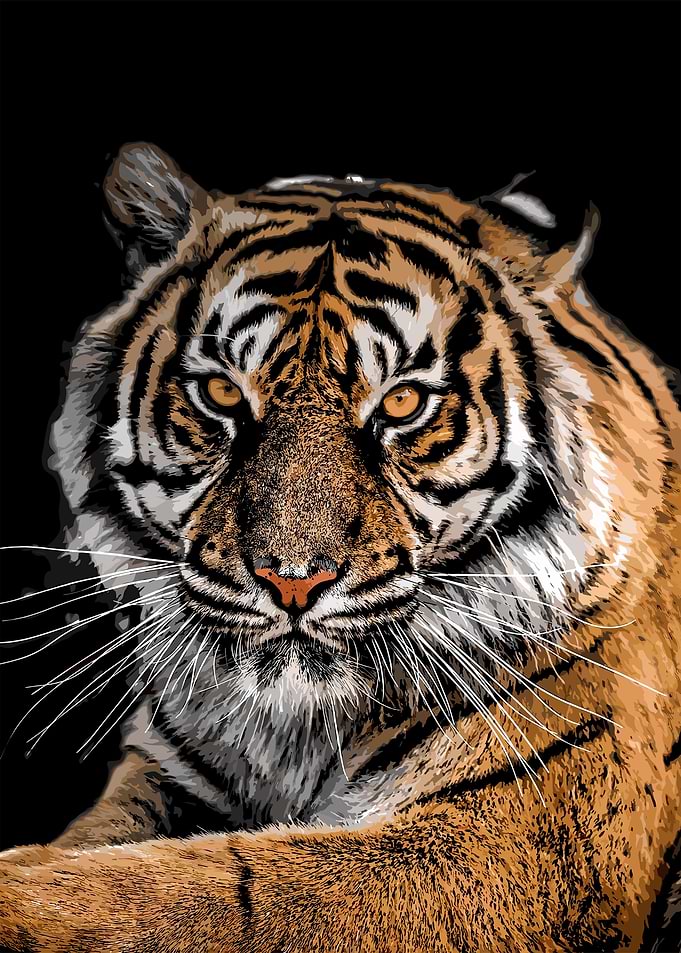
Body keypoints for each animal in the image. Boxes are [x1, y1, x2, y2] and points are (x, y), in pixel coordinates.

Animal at [0, 142, 679, 953]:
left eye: (402, 402)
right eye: (222, 395)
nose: (292, 581)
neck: (291, 731)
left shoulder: (515, 842)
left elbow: (203, 892)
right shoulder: (165, 776)